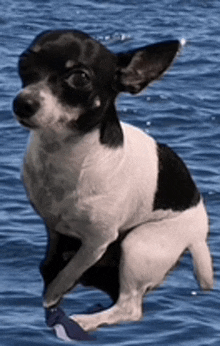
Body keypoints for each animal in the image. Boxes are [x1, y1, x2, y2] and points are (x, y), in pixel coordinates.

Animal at [12, 31, 213, 332]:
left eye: (79, 78)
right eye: (24, 62)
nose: (22, 103)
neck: (64, 154)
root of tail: (199, 234)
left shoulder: (97, 242)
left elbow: (68, 272)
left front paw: (51, 298)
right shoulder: (53, 225)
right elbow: (52, 255)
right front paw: (48, 272)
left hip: (140, 244)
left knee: (129, 308)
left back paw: (85, 320)